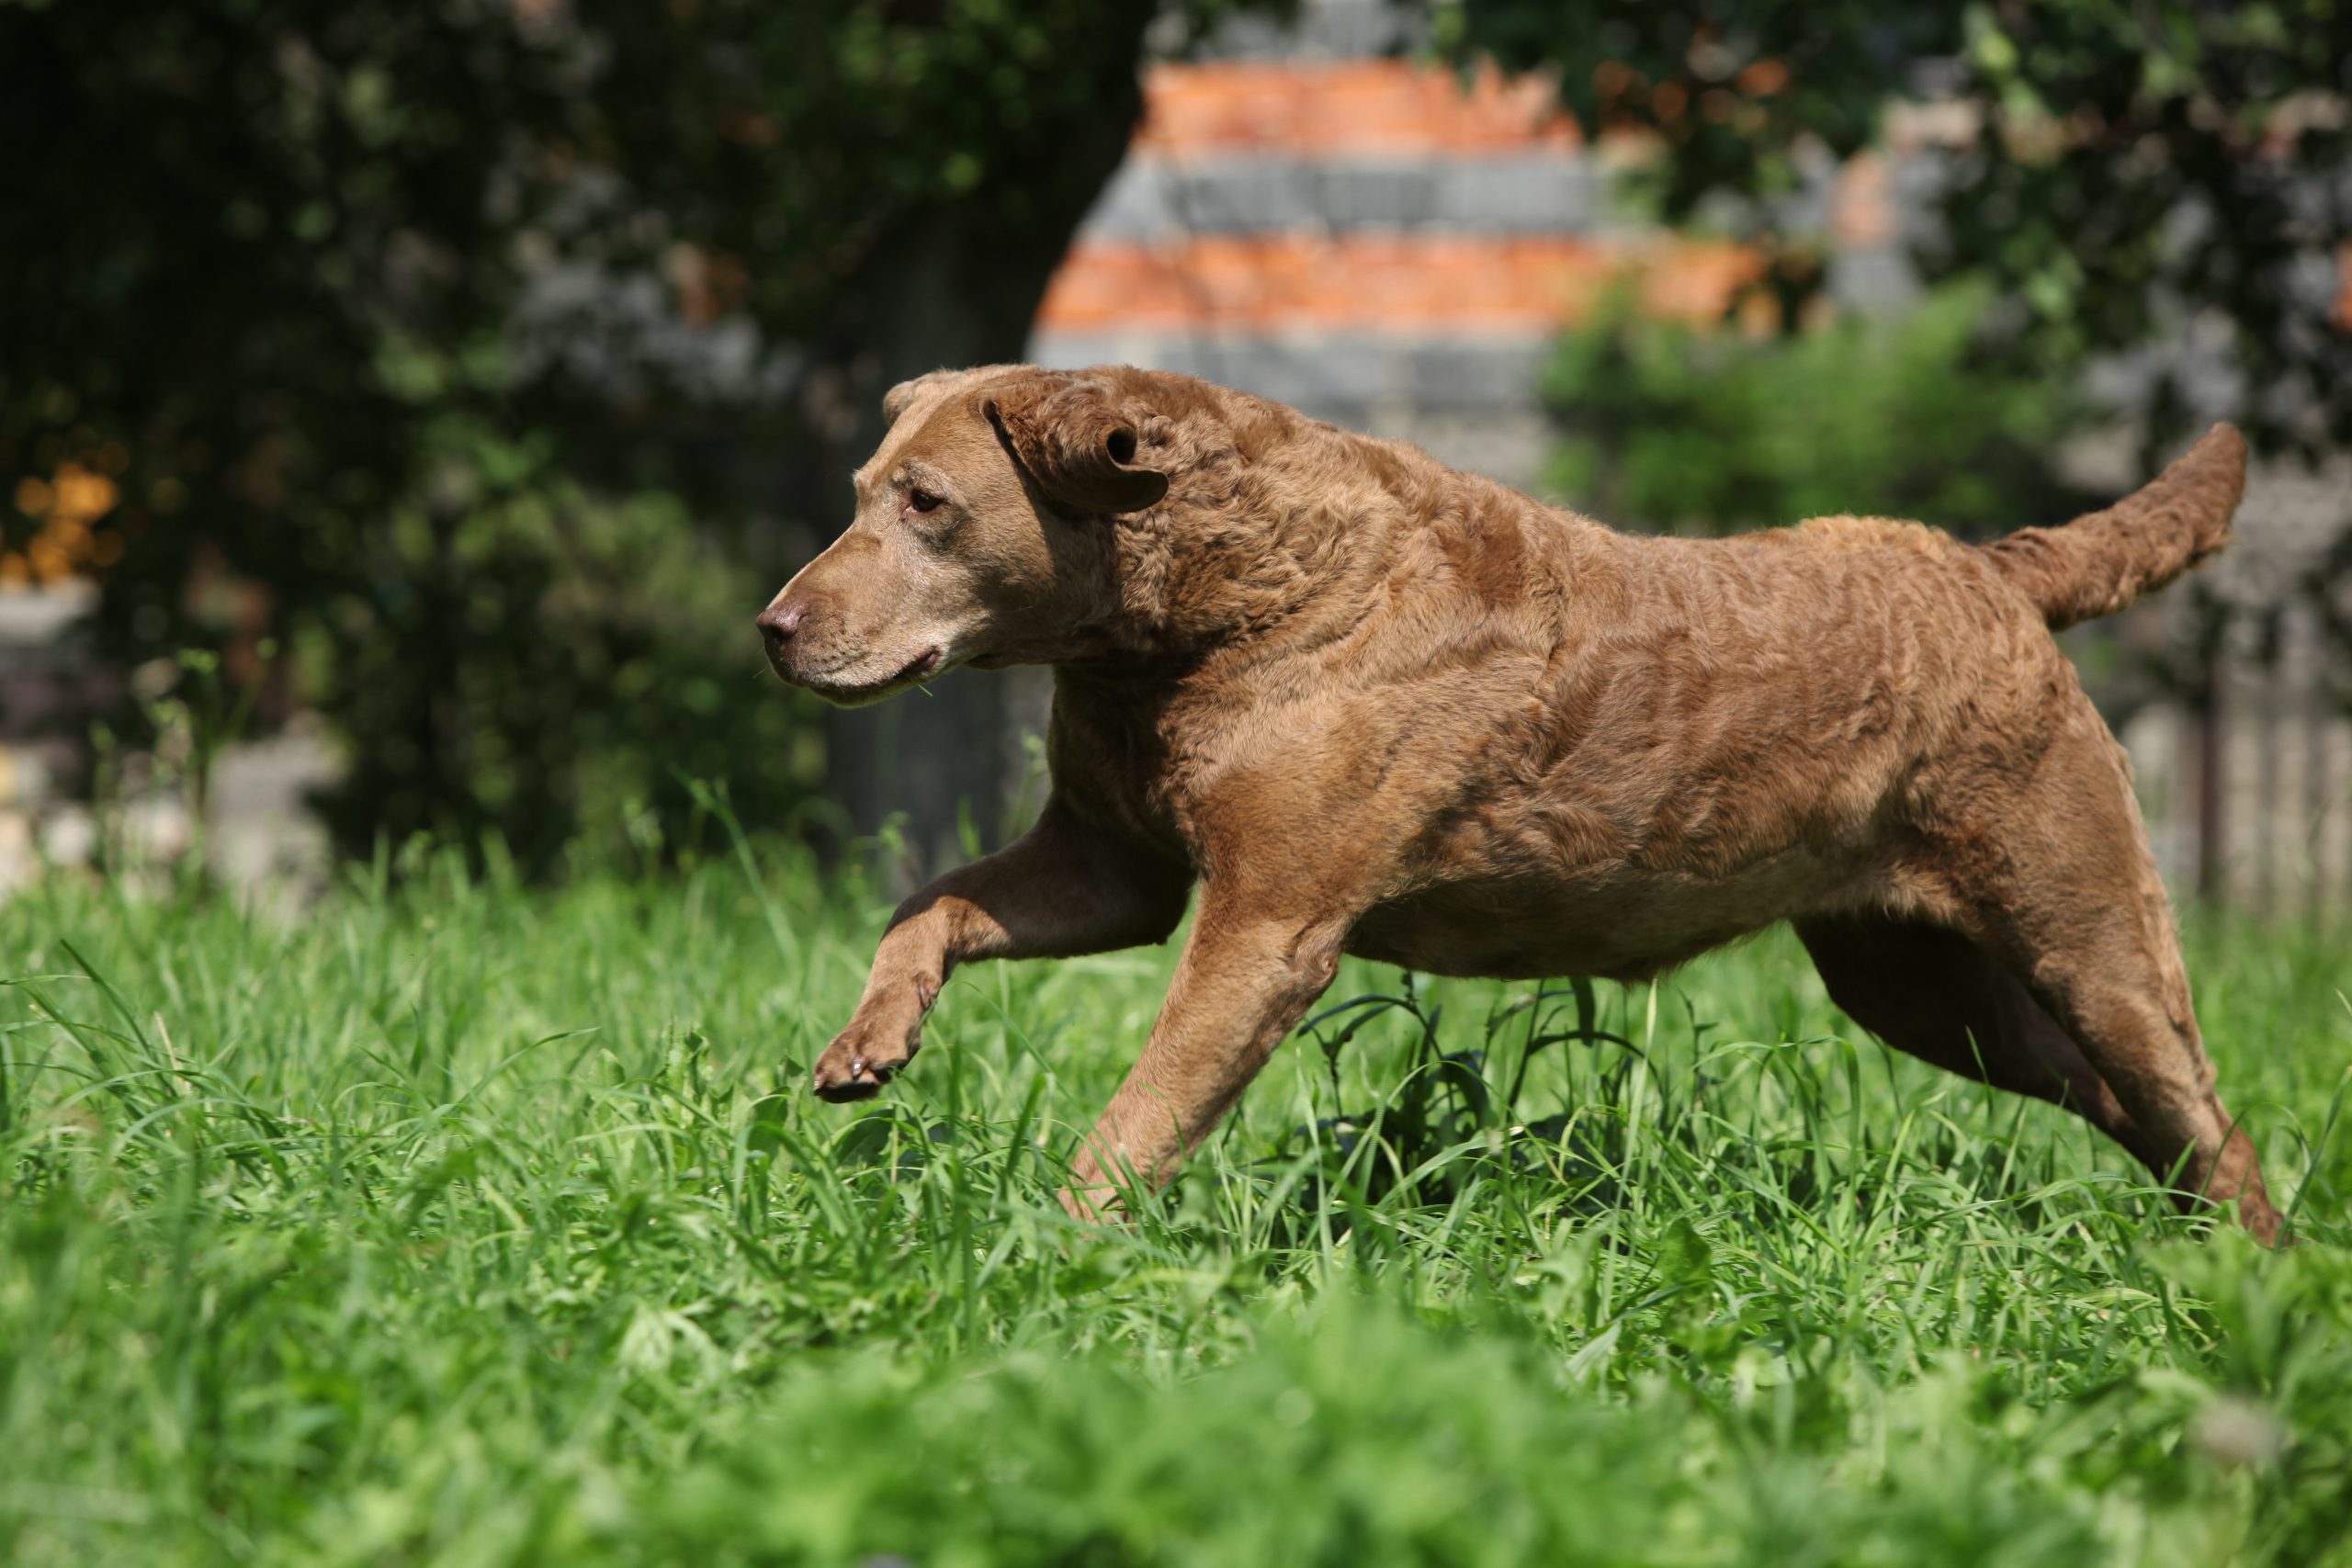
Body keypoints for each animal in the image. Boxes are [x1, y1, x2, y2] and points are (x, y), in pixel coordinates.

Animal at [752, 362, 2277, 1241]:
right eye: (862, 491)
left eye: (930, 504)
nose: (770, 627)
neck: (1200, 613)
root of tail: (1994, 569)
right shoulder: (1113, 867)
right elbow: (928, 901)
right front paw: (867, 1041)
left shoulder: (1266, 923)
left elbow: (1141, 1113)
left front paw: (1049, 1251)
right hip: (1916, 982)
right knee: (2128, 1104)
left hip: (2086, 923)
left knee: (2208, 1113)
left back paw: (2253, 1290)